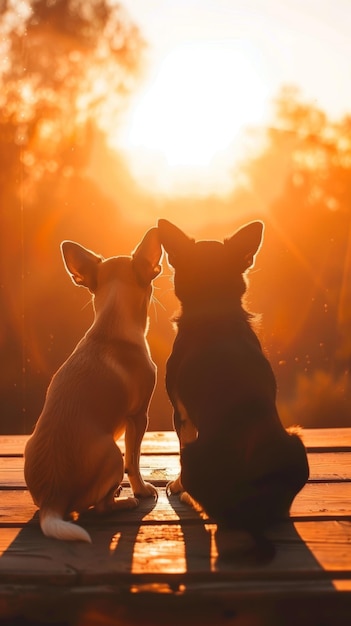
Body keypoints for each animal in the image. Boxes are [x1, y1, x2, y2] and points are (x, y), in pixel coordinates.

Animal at [24, 227, 162, 540]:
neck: (111, 323)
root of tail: (52, 500)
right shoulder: (139, 417)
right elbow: (134, 460)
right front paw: (142, 489)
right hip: (111, 452)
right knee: (101, 506)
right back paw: (124, 500)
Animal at [158, 218, 310, 532]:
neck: (214, 308)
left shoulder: (180, 414)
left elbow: (180, 444)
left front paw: (177, 486)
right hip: (296, 440)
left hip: (195, 453)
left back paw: (189, 495)